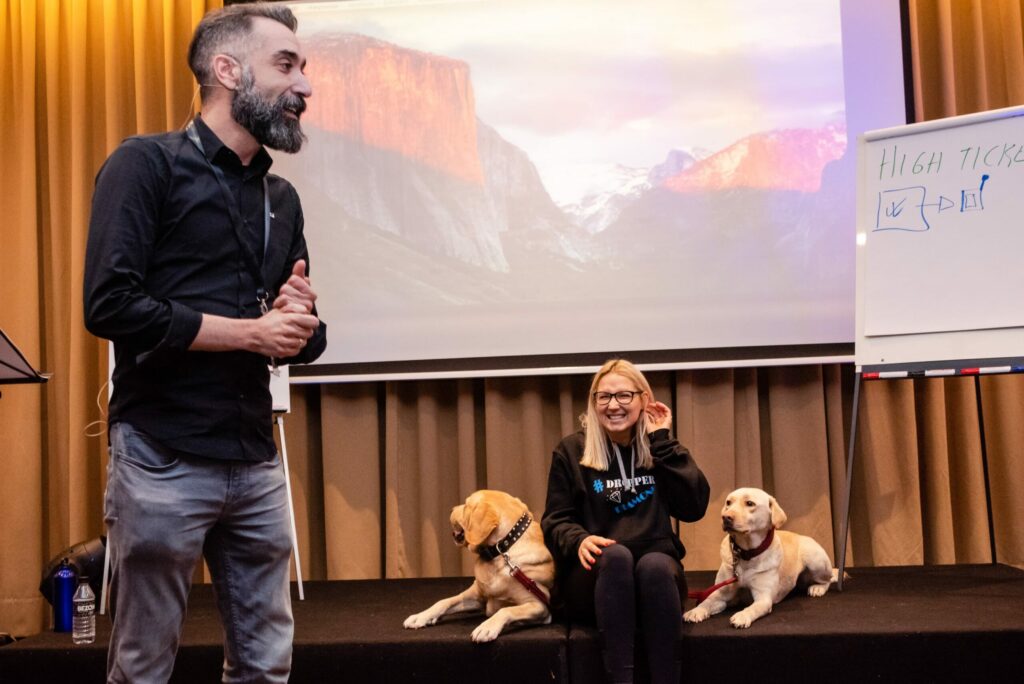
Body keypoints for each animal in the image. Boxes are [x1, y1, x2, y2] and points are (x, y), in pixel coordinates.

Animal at [403, 491, 557, 643]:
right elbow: (443, 601)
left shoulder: (539, 606)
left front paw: (487, 627)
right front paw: (421, 616)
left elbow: (506, 610)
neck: (501, 551)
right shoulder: (476, 595)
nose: (451, 509)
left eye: (466, 505)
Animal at [684, 485, 835, 630]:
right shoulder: (721, 593)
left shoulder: (763, 598)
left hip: (815, 560)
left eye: (750, 503)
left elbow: (752, 608)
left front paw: (742, 616)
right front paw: (695, 611)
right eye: (728, 503)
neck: (746, 553)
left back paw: (818, 588)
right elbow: (707, 601)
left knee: (829, 578)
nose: (725, 517)